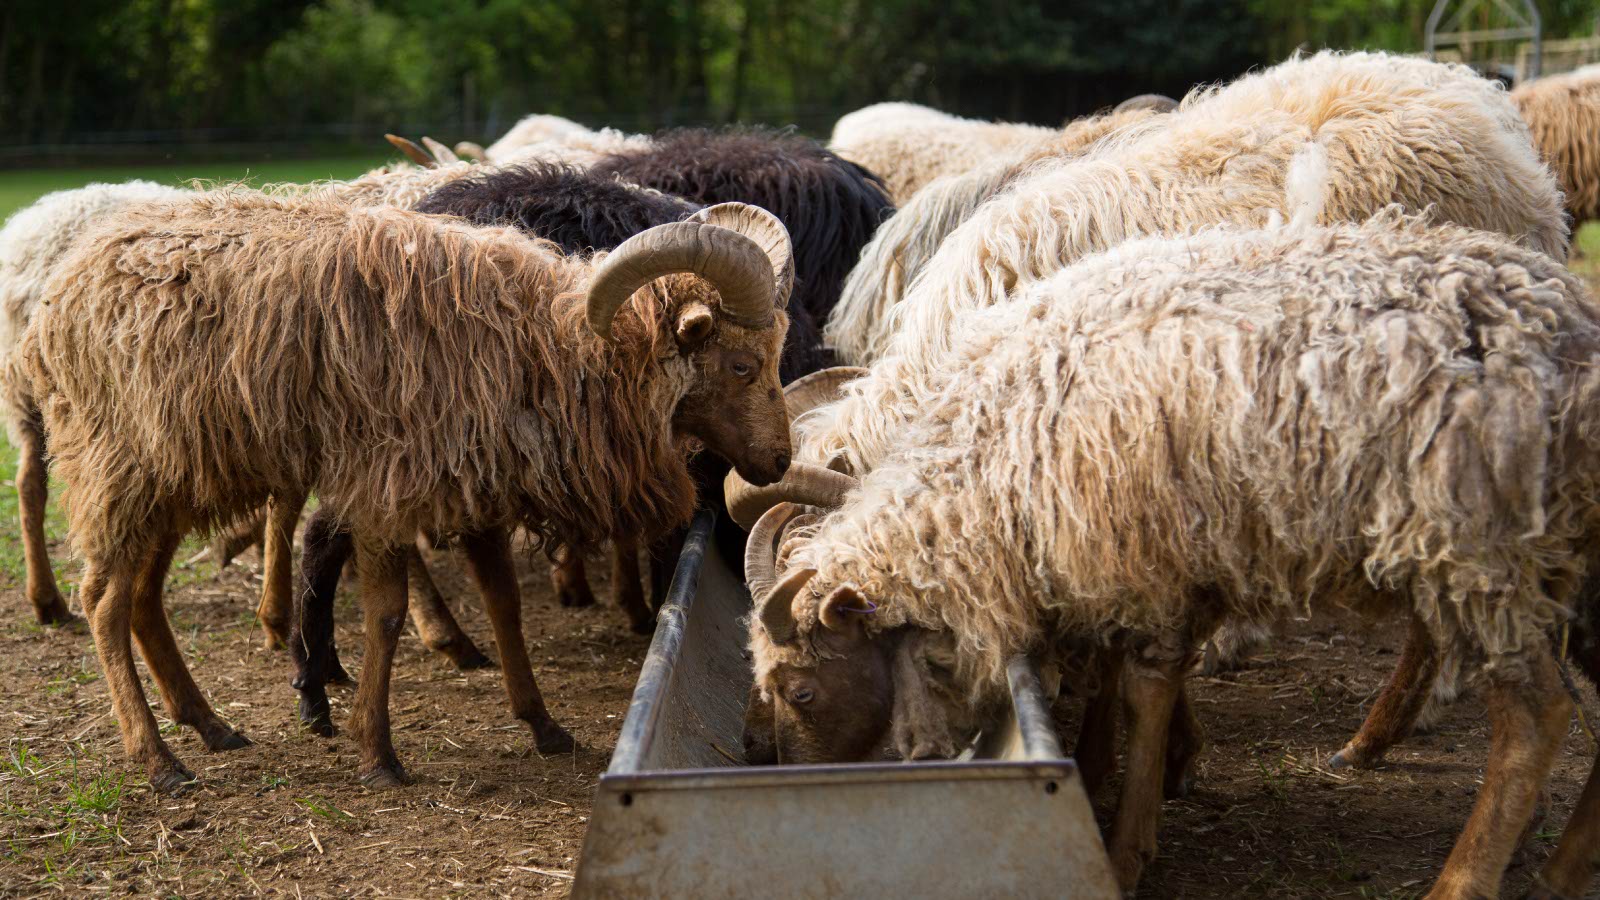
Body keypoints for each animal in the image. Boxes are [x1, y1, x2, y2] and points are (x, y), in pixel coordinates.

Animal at [21, 187, 796, 784]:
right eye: (740, 365)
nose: (780, 462)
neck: (554, 349)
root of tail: (60, 292)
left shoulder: (479, 483)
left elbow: (505, 603)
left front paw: (542, 722)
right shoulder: (386, 487)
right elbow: (387, 616)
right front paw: (378, 751)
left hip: (173, 476)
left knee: (144, 598)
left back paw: (208, 725)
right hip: (120, 466)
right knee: (104, 603)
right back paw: (158, 759)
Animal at [742, 216, 1600, 890]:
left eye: (801, 691)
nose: (792, 791)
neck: (987, 458)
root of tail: (1570, 329)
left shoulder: (1138, 553)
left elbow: (1141, 689)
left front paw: (1126, 842)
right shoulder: (1146, 558)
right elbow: (1123, 673)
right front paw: (1124, 773)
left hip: (1477, 551)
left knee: (1538, 717)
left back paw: (1463, 878)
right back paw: (1558, 871)